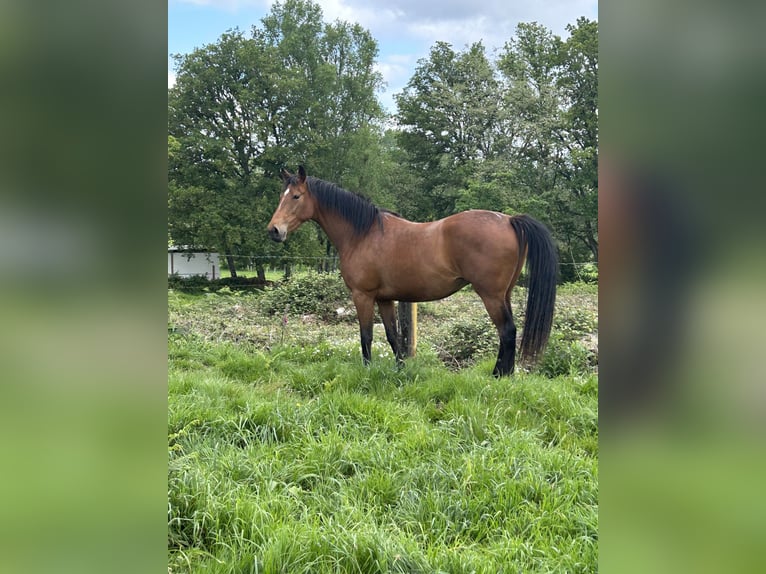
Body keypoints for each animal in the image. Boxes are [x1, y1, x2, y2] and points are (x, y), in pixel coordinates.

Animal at [270, 165, 560, 378]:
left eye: (296, 196)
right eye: (281, 196)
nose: (274, 230)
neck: (362, 234)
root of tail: (509, 220)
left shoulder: (363, 296)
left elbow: (366, 336)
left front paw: (367, 371)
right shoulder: (385, 298)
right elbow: (393, 336)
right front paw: (400, 370)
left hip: (491, 296)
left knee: (507, 331)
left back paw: (498, 376)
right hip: (504, 294)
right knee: (508, 333)